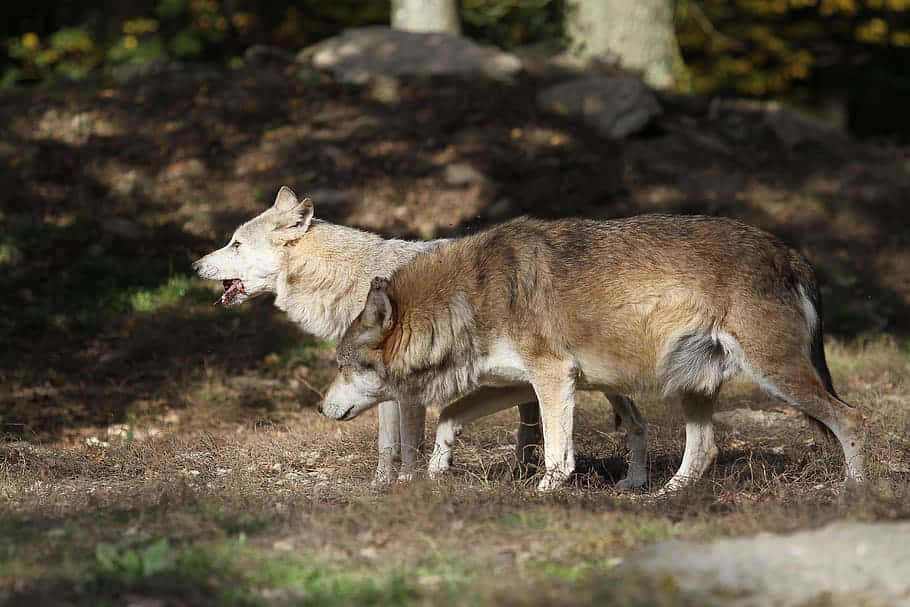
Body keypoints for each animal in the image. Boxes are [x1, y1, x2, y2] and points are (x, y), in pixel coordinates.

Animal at [193, 187, 649, 487]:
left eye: (235, 244)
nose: (195, 266)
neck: (352, 280)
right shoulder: (384, 389)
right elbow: (387, 445)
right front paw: (382, 485)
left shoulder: (404, 389)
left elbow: (407, 444)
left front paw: (407, 483)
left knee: (630, 423)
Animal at [320, 215, 866, 493]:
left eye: (344, 366)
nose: (322, 408)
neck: (469, 295)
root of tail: (792, 254)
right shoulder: (522, 382)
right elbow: (450, 416)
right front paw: (436, 471)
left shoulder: (552, 377)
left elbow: (558, 456)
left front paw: (544, 494)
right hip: (694, 387)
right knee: (705, 449)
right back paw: (663, 497)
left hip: (776, 376)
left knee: (851, 419)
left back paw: (856, 493)